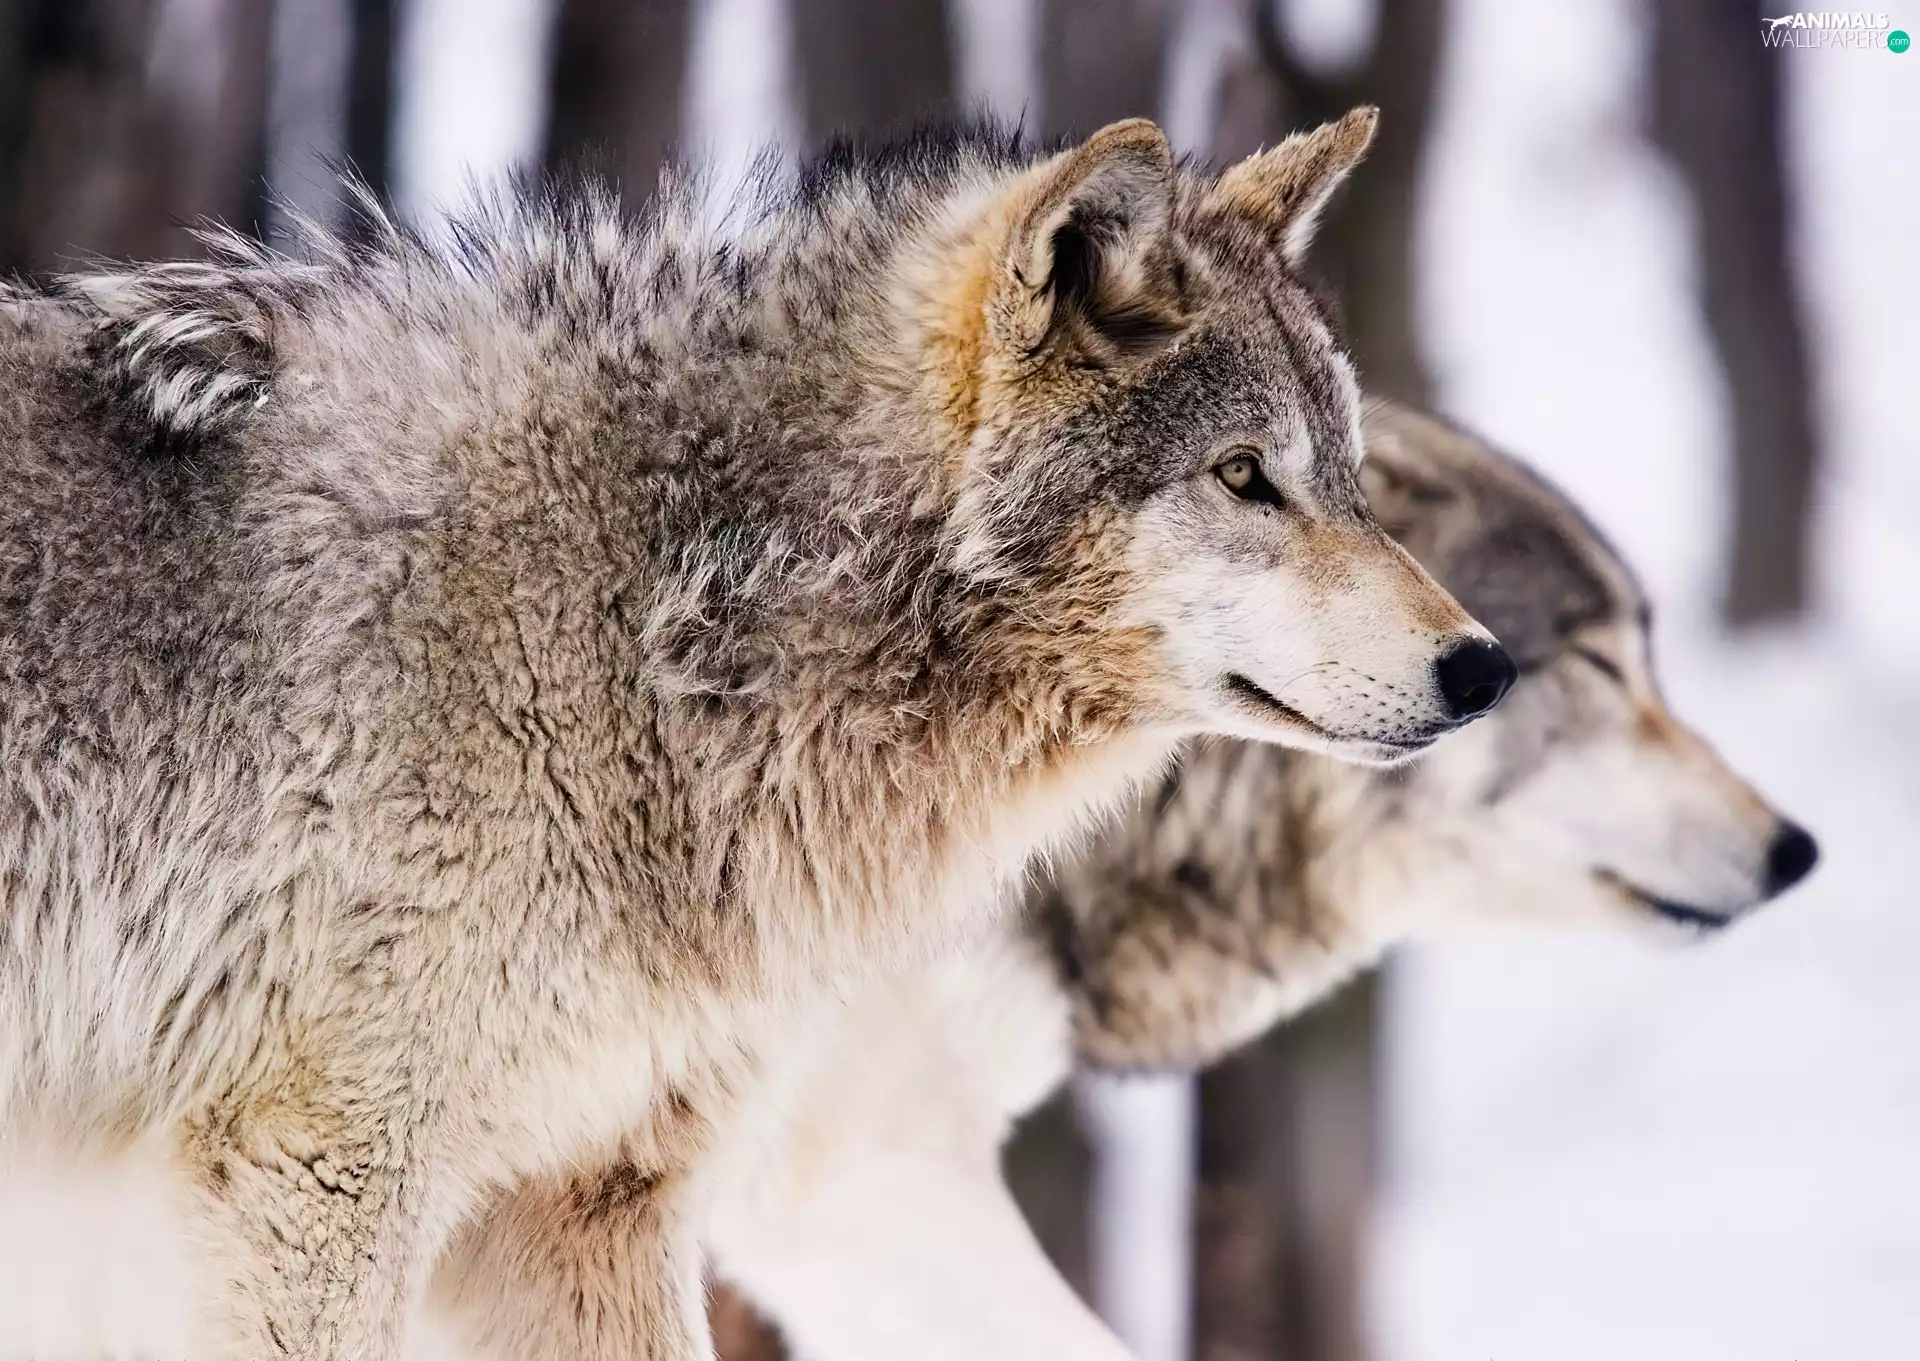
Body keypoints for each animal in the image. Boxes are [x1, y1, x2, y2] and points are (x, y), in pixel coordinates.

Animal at [0, 109, 1512, 1360]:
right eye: (1244, 476)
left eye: (1349, 476)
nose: (1486, 667)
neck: (658, 611)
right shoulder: (317, 1173)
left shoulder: (591, 1204)